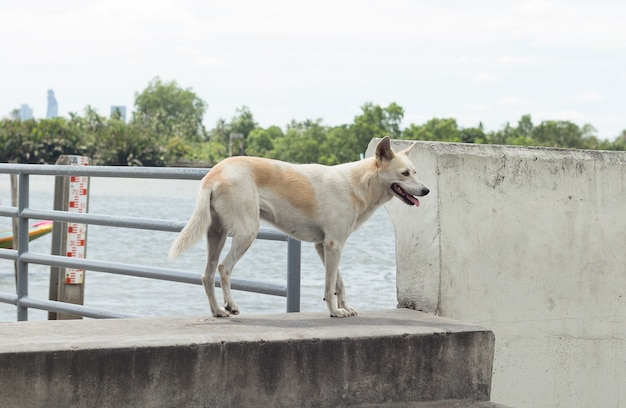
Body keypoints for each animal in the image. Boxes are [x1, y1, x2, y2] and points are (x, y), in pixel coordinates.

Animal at [168, 135, 426, 318]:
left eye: (415, 172)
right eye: (404, 174)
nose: (426, 190)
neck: (358, 183)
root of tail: (213, 173)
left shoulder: (324, 245)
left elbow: (338, 281)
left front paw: (345, 307)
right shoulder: (333, 244)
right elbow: (330, 284)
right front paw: (335, 312)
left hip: (217, 234)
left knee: (207, 275)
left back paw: (218, 311)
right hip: (246, 232)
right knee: (224, 268)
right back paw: (230, 306)